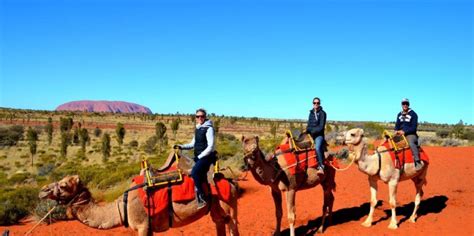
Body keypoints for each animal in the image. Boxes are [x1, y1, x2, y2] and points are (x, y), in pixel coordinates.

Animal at [39, 155, 241, 236]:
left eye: (64, 185)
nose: (43, 191)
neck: (122, 206)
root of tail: (230, 180)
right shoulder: (148, 227)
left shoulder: (142, 225)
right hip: (216, 207)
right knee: (219, 222)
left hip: (229, 203)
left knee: (233, 226)